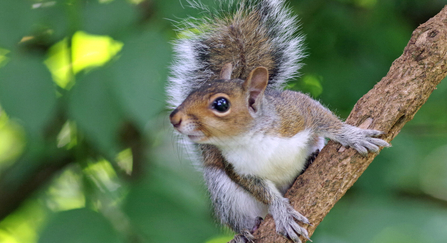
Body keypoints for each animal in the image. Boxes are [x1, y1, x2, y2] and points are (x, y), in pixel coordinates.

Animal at [166, 0, 390, 242]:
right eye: (191, 93)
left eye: (221, 104)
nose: (174, 117)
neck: (251, 138)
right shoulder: (239, 168)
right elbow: (263, 191)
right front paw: (282, 212)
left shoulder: (296, 111)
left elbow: (325, 119)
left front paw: (354, 136)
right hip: (225, 194)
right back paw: (246, 232)